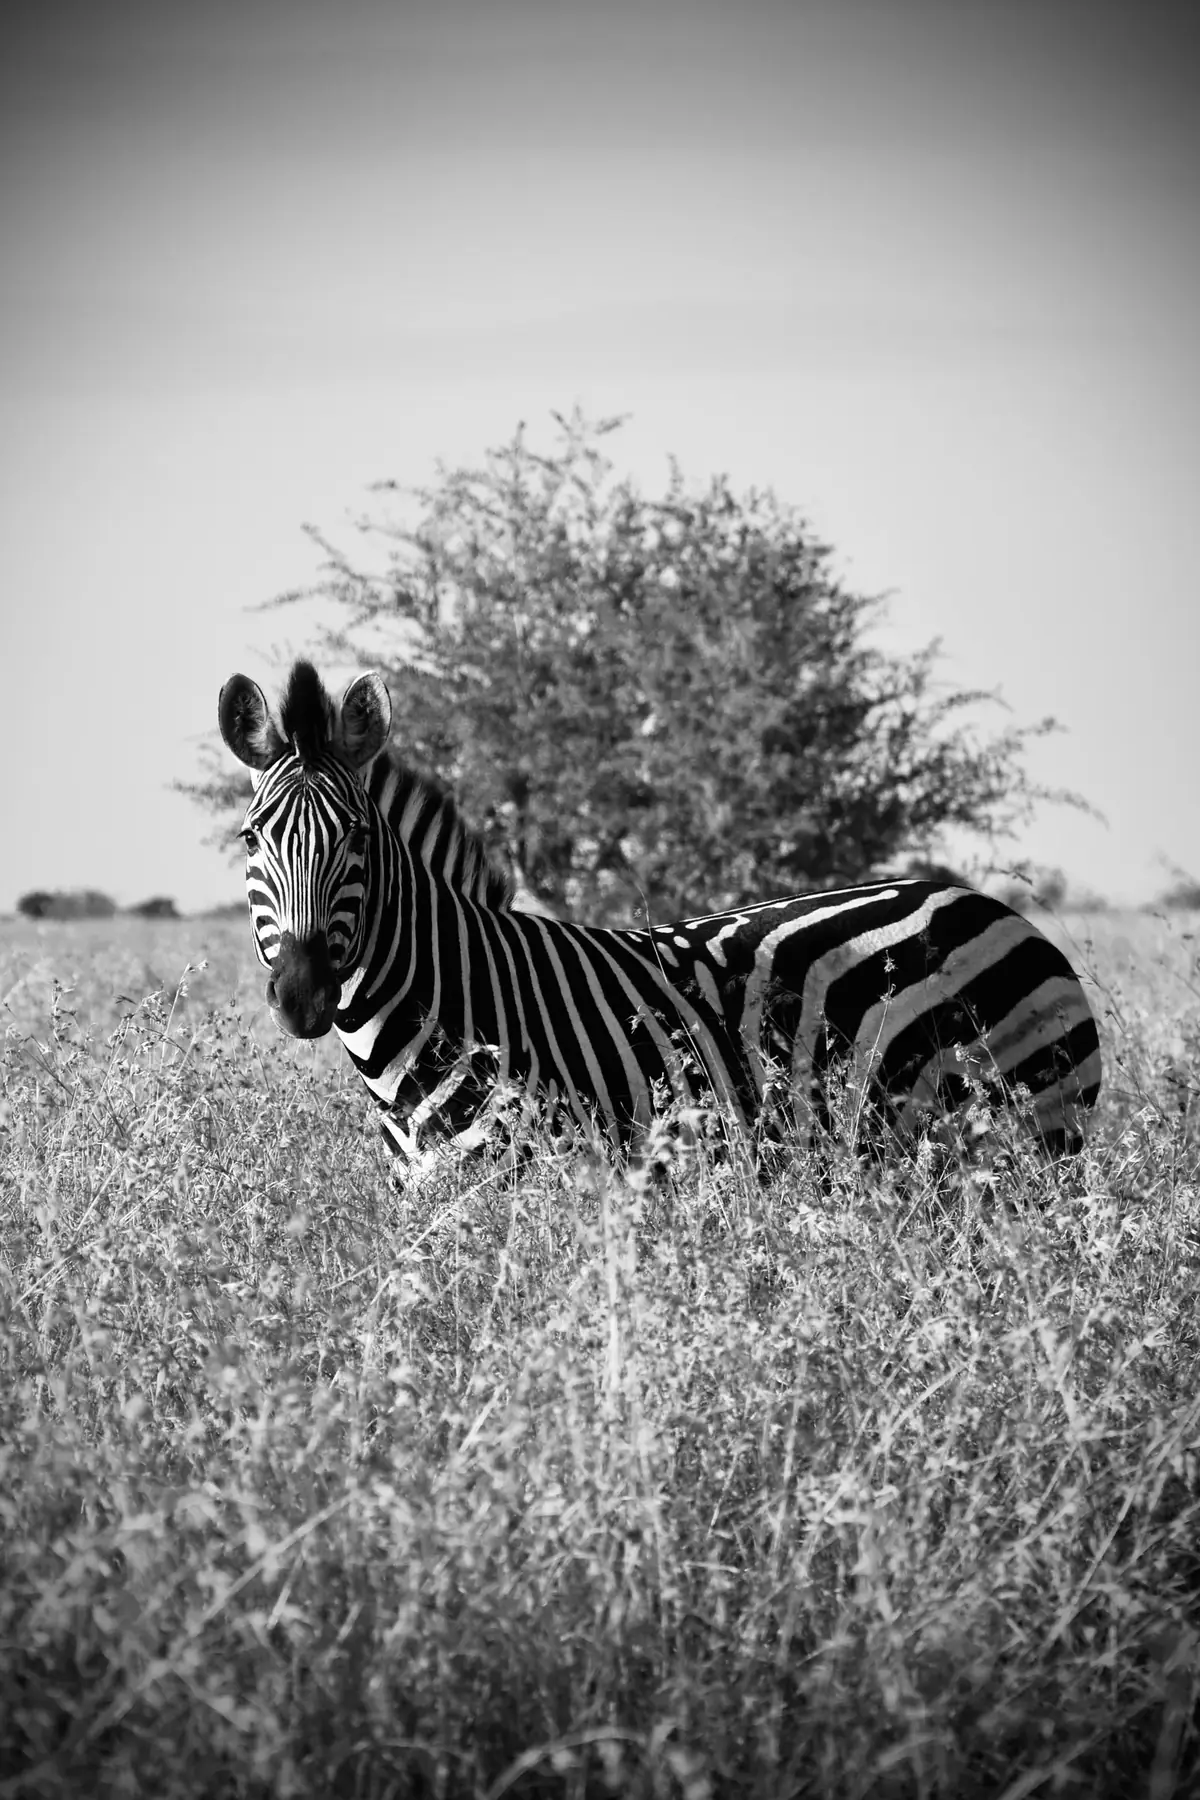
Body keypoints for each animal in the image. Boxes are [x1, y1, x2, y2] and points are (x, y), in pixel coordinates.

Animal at [219, 660, 1102, 1182]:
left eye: (358, 839)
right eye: (251, 839)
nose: (302, 995)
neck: (452, 1003)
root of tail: (994, 907)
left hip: (1029, 1143)